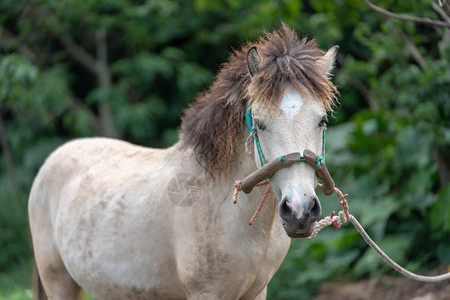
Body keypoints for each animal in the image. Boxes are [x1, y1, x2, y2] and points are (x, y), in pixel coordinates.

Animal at [28, 24, 338, 298]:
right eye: (260, 124)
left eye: (322, 120)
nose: (299, 211)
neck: (224, 204)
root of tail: (52, 161)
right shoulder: (206, 293)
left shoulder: (257, 292)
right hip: (59, 282)